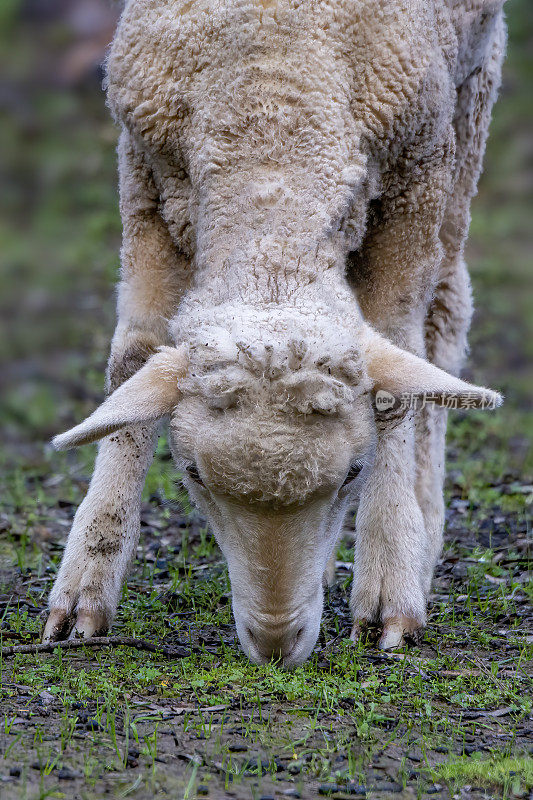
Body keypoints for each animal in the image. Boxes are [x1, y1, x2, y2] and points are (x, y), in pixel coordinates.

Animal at [43, 0, 504, 664]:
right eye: (192, 476)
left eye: (354, 473)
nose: (276, 646)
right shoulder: (145, 171)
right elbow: (132, 359)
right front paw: (85, 581)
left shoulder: (417, 168)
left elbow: (398, 368)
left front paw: (390, 580)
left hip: (470, 96)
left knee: (444, 311)